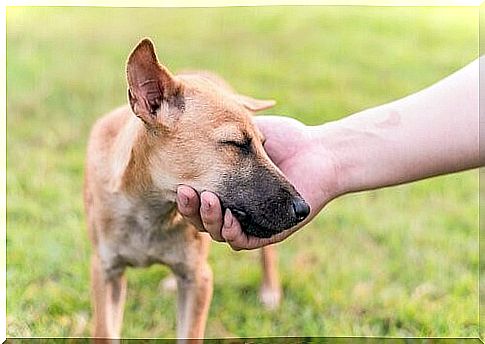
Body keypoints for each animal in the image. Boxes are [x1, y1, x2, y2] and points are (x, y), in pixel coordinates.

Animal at [83, 37, 310, 338]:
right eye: (236, 144)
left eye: (263, 145)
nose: (303, 208)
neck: (151, 210)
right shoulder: (105, 271)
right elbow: (105, 332)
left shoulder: (200, 280)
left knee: (268, 252)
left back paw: (270, 291)